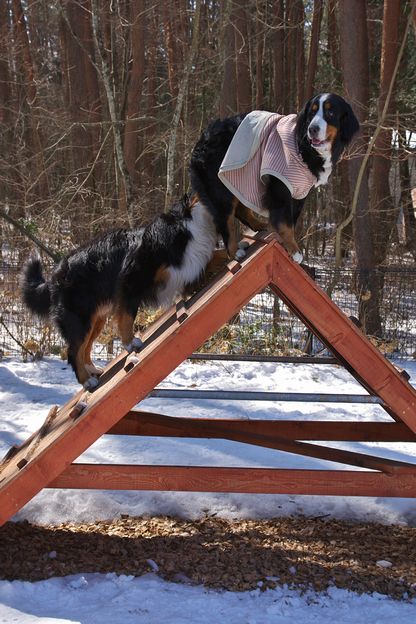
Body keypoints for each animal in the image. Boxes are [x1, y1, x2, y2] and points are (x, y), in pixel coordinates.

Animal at [20, 196, 218, 390]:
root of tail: (55, 275)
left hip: (95, 320)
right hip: (79, 319)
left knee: (85, 347)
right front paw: (130, 343)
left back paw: (92, 370)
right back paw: (87, 381)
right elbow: (128, 317)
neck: (188, 225)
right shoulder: (129, 282)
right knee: (73, 351)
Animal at [190, 91, 360, 262]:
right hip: (219, 188)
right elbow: (285, 222)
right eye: (312, 113)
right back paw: (235, 251)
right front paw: (294, 250)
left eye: (330, 112)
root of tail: (202, 139)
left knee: (241, 210)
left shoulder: (299, 192)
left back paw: (260, 226)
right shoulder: (280, 185)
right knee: (226, 219)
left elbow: (291, 220)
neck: (304, 148)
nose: (312, 129)